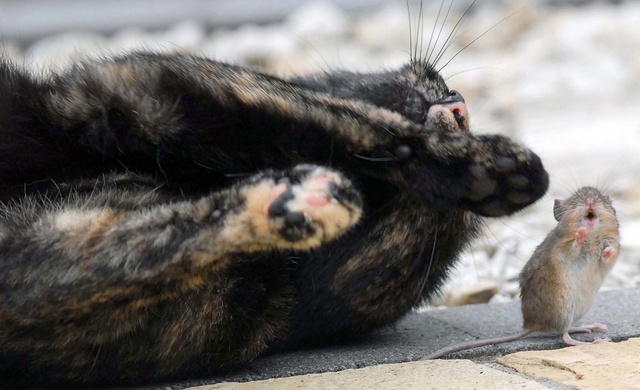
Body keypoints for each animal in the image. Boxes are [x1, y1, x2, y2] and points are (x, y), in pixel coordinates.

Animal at [0, 35, 548, 386]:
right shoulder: (173, 91)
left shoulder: (153, 85)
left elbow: (354, 125)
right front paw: (485, 167)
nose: (459, 109)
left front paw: (480, 167)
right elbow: (354, 124)